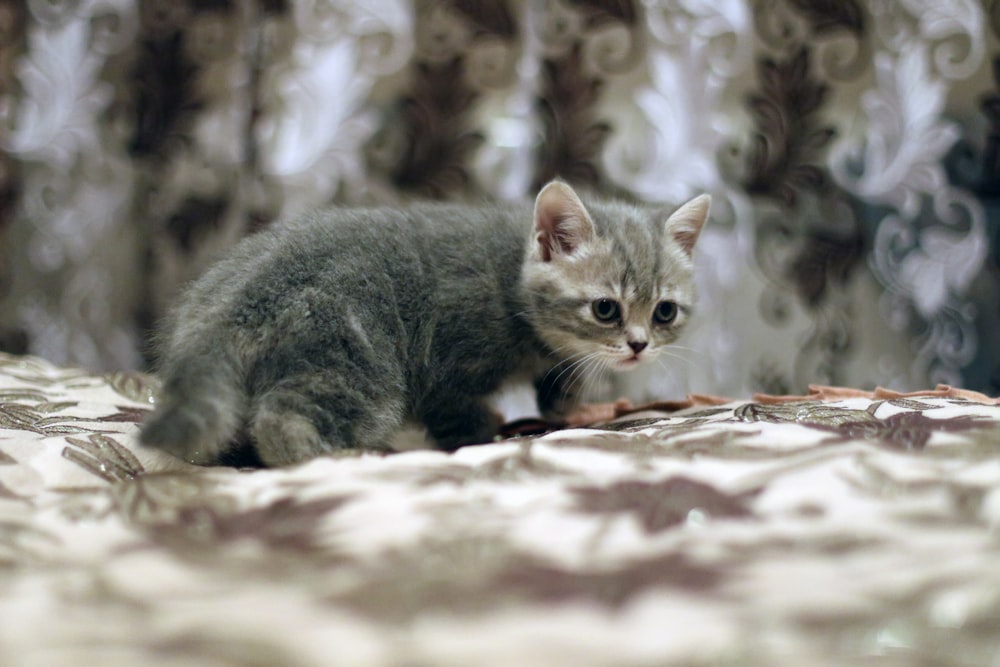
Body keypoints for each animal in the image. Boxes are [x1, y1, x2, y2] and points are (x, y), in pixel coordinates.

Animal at [141, 180, 712, 468]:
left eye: (663, 311)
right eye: (606, 309)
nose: (638, 346)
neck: (512, 280)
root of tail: (231, 303)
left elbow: (555, 388)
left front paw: (579, 409)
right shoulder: (448, 356)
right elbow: (457, 408)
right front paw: (484, 429)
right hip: (358, 358)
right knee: (284, 418)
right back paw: (340, 458)